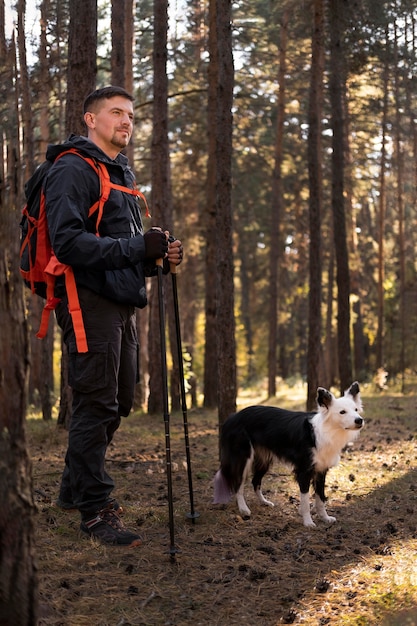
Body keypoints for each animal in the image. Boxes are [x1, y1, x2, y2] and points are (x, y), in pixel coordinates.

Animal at [213, 382, 362, 524]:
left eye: (356, 410)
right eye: (342, 412)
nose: (359, 420)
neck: (324, 432)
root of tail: (232, 417)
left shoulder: (321, 471)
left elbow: (321, 498)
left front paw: (325, 518)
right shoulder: (304, 471)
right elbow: (306, 501)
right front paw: (308, 522)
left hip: (264, 460)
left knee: (255, 482)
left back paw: (264, 502)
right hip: (243, 458)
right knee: (238, 484)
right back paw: (244, 509)